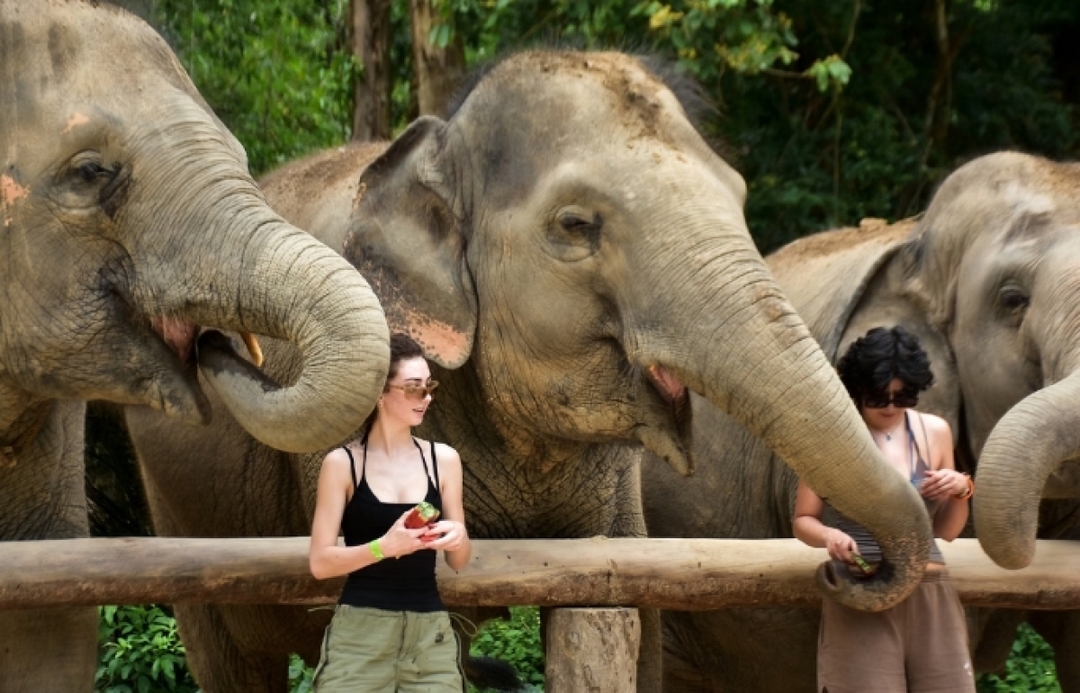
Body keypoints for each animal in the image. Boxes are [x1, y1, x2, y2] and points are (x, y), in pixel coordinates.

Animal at [124, 50, 935, 692]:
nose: (849, 564)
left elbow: (632, 609)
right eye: (575, 226)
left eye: (737, 197)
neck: (435, 143)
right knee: (231, 656)